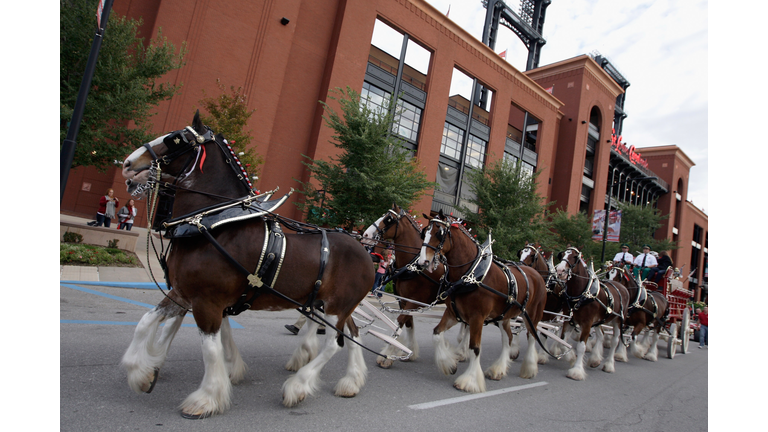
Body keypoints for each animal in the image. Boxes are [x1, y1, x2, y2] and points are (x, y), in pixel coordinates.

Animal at [118, 112, 376, 418]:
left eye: (176, 139)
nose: (127, 163)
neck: (210, 224)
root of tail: (366, 250)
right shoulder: (184, 293)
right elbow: (146, 322)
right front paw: (142, 373)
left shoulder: (207, 301)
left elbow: (211, 349)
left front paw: (206, 398)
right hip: (333, 305)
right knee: (352, 333)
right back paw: (351, 381)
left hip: (336, 307)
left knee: (334, 344)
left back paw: (298, 386)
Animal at [416, 211, 548, 394]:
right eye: (424, 233)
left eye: (439, 233)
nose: (423, 262)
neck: (471, 273)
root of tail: (537, 275)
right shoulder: (453, 313)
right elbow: (436, 333)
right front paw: (449, 365)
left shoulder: (477, 317)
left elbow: (474, 348)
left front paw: (469, 381)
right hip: (504, 316)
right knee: (507, 337)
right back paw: (498, 369)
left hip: (533, 316)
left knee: (531, 337)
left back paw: (529, 368)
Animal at [556, 248, 628, 380]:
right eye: (562, 255)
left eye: (575, 257)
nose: (560, 271)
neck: (581, 294)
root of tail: (623, 288)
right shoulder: (569, 320)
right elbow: (562, 341)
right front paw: (572, 357)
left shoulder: (587, 323)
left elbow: (581, 347)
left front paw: (576, 371)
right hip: (599, 321)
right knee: (601, 335)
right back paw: (595, 359)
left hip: (618, 320)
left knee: (615, 340)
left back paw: (609, 365)